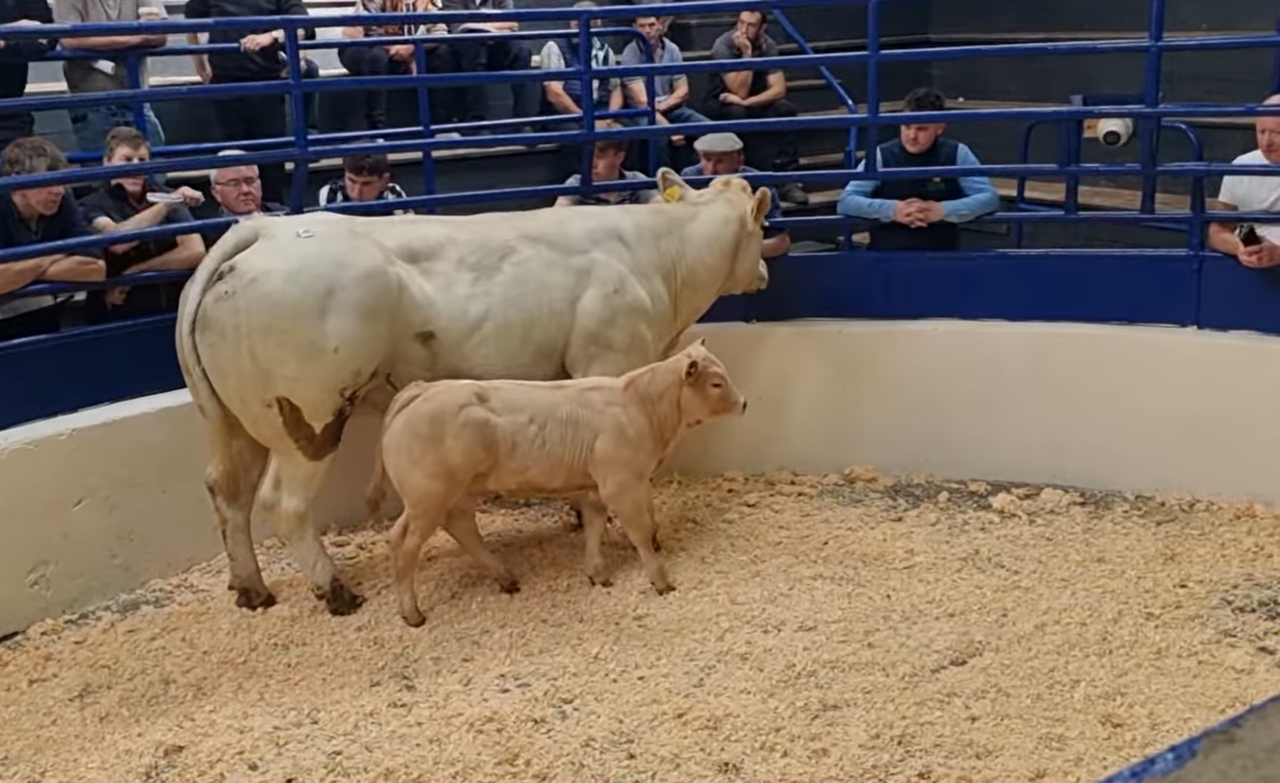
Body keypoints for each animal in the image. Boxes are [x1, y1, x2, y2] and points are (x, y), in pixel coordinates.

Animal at [365, 339, 746, 627]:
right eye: (716, 383)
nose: (744, 403)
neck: (639, 407)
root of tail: (421, 391)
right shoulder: (622, 483)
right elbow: (639, 532)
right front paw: (661, 581)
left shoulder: (596, 487)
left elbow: (594, 527)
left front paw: (597, 574)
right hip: (427, 497)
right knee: (404, 543)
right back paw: (412, 613)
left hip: (452, 494)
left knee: (461, 528)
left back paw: (505, 577)